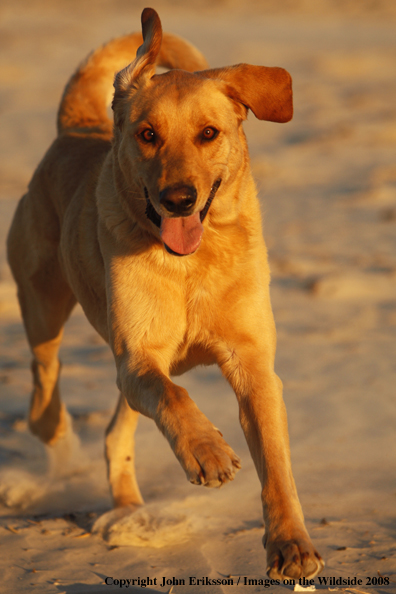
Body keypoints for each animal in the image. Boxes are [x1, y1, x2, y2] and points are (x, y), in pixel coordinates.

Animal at [6, 5, 324, 580]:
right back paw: (60, 446)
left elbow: (275, 461)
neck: (191, 265)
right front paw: (208, 452)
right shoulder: (138, 357)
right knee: (45, 389)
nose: (179, 199)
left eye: (208, 133)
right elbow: (175, 398)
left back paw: (129, 509)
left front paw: (291, 543)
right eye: (148, 134)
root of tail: (74, 128)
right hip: (44, 309)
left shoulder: (252, 364)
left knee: (116, 432)